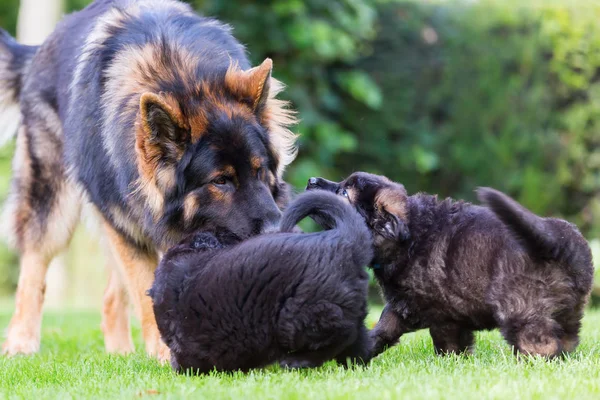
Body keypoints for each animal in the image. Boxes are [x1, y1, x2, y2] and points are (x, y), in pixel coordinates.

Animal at [0, 0, 296, 360]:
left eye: (259, 170)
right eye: (221, 181)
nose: (278, 231)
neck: (179, 76)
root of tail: (41, 48)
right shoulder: (124, 222)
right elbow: (145, 288)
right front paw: (167, 351)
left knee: (111, 296)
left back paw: (120, 354)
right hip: (57, 202)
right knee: (35, 264)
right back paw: (21, 341)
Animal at [310, 172, 596, 360]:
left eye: (344, 193)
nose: (312, 181)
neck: (410, 236)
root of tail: (556, 240)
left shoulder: (441, 314)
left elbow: (446, 344)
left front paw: (449, 364)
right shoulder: (405, 306)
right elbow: (382, 330)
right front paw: (358, 355)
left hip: (521, 307)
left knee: (540, 342)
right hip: (570, 308)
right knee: (568, 338)